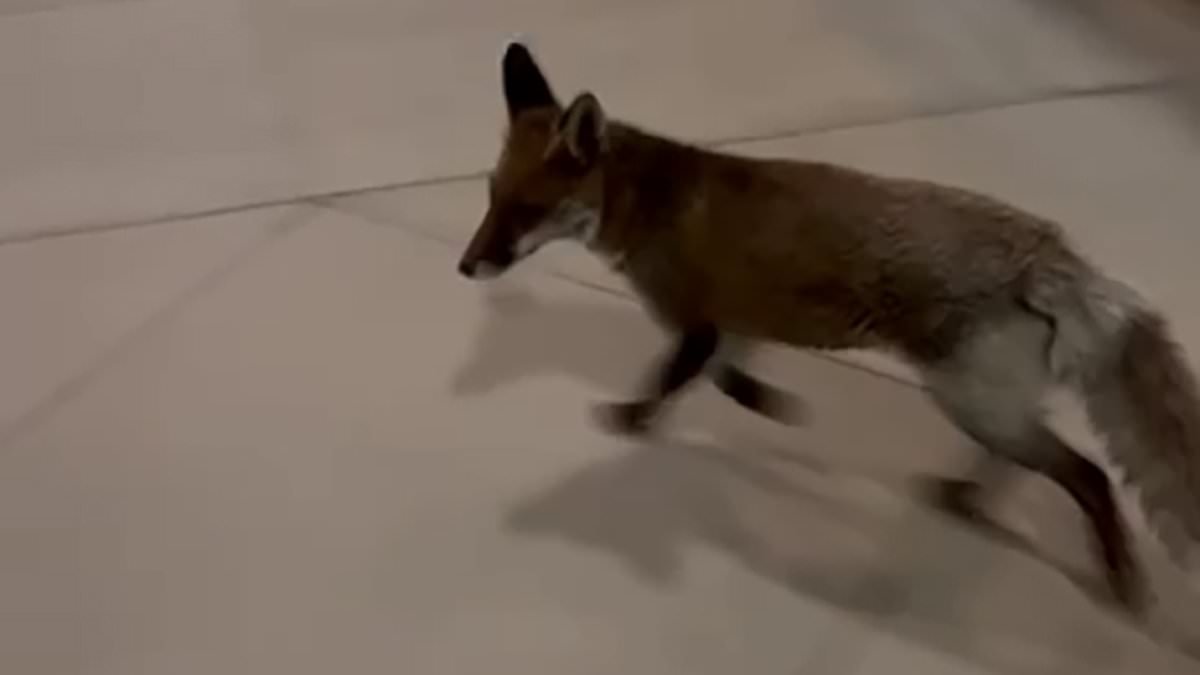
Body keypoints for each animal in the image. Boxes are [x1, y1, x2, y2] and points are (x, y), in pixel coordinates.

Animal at [457, 42, 1200, 614]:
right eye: (491, 198)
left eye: (524, 211)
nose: (465, 265)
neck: (647, 203)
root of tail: (1051, 251)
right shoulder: (732, 319)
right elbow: (724, 376)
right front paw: (770, 404)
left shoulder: (696, 319)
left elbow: (677, 378)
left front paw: (638, 418)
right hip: (990, 407)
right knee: (1030, 462)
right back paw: (968, 496)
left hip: (969, 400)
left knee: (1089, 476)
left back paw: (1116, 574)